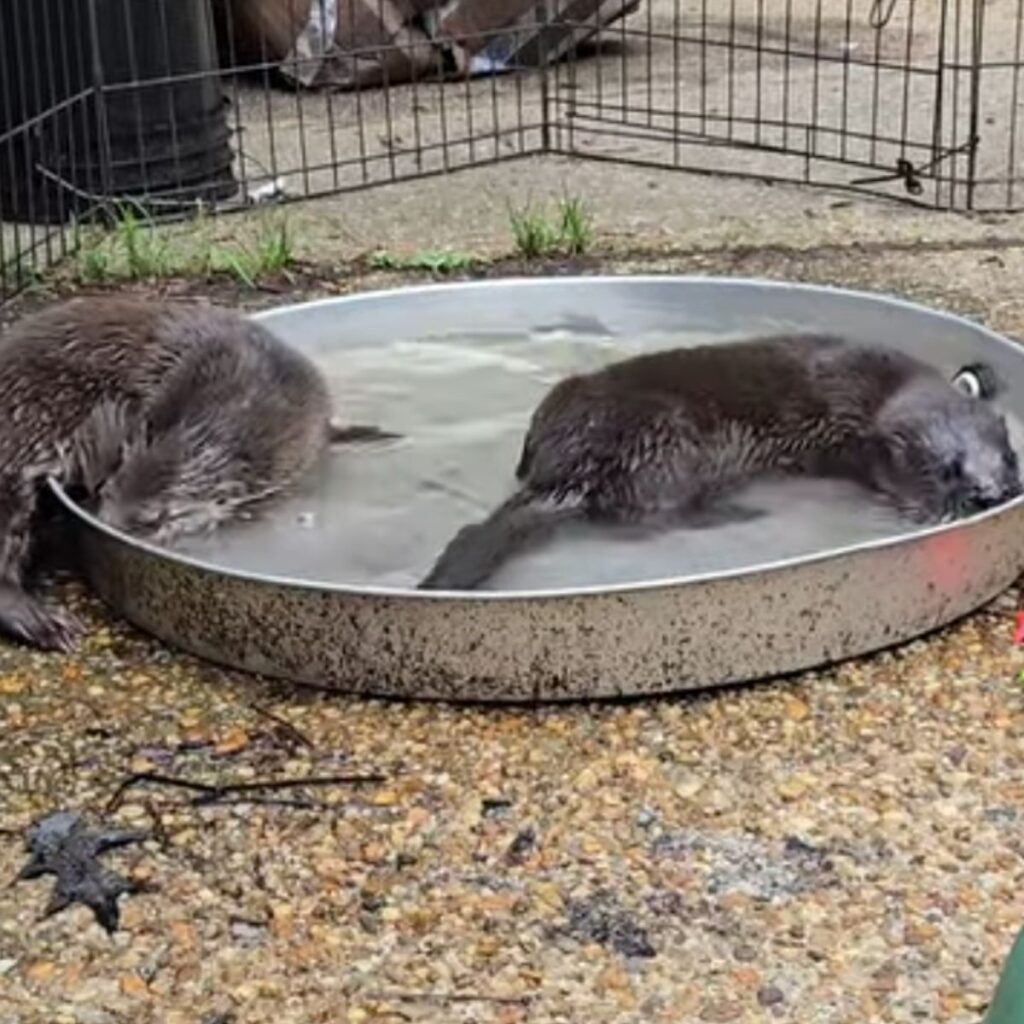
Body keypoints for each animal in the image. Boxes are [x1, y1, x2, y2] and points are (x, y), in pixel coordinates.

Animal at [419, 332, 1022, 591]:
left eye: (1009, 457)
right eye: (947, 467)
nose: (989, 494)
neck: (871, 391)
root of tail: (567, 462)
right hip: (668, 447)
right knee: (657, 513)